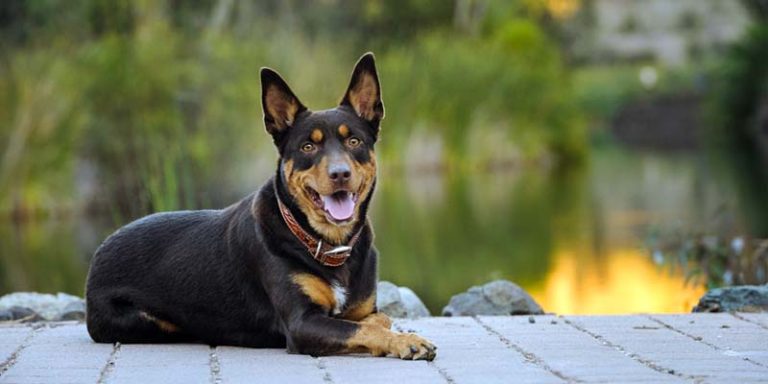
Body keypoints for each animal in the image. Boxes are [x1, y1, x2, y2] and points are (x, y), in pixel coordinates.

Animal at [86, 53, 436, 360]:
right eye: (307, 146)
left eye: (354, 141)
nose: (340, 174)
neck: (327, 245)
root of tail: (99, 252)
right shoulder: (302, 323)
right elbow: (363, 328)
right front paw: (407, 341)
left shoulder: (363, 308)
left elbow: (377, 319)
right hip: (148, 321)